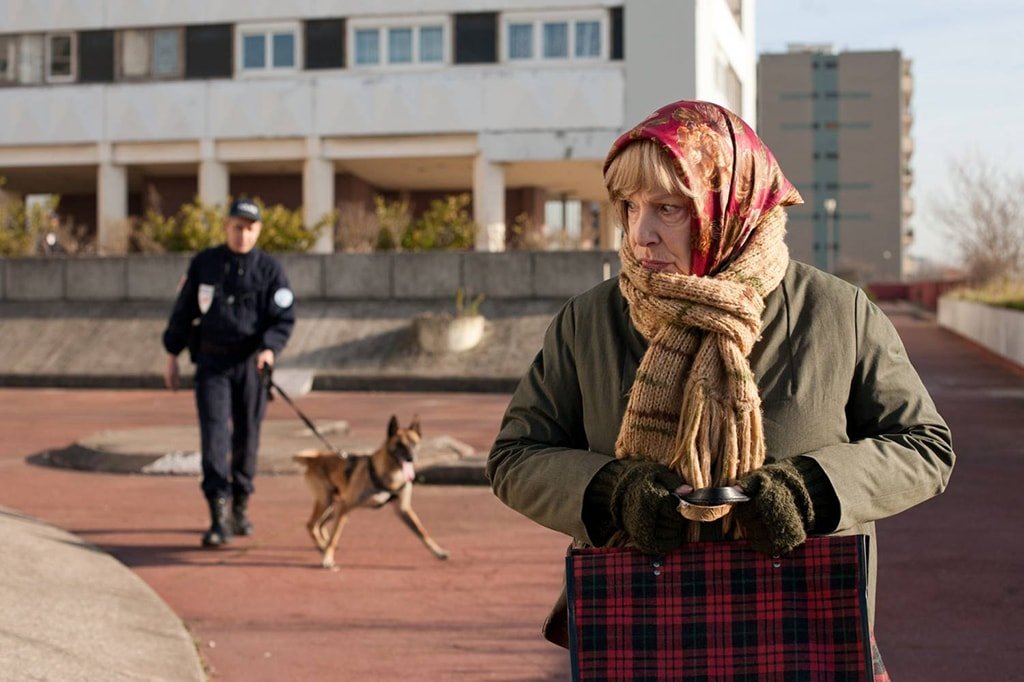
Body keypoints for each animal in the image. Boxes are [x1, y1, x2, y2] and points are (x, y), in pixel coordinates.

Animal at [290, 413, 446, 569]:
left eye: (414, 443)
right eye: (399, 444)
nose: (411, 458)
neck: (390, 474)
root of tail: (314, 458)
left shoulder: (404, 509)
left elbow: (422, 532)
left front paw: (438, 551)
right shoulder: (346, 507)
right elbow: (335, 536)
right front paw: (328, 559)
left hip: (334, 506)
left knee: (320, 524)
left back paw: (322, 545)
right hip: (327, 502)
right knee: (311, 525)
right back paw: (322, 546)